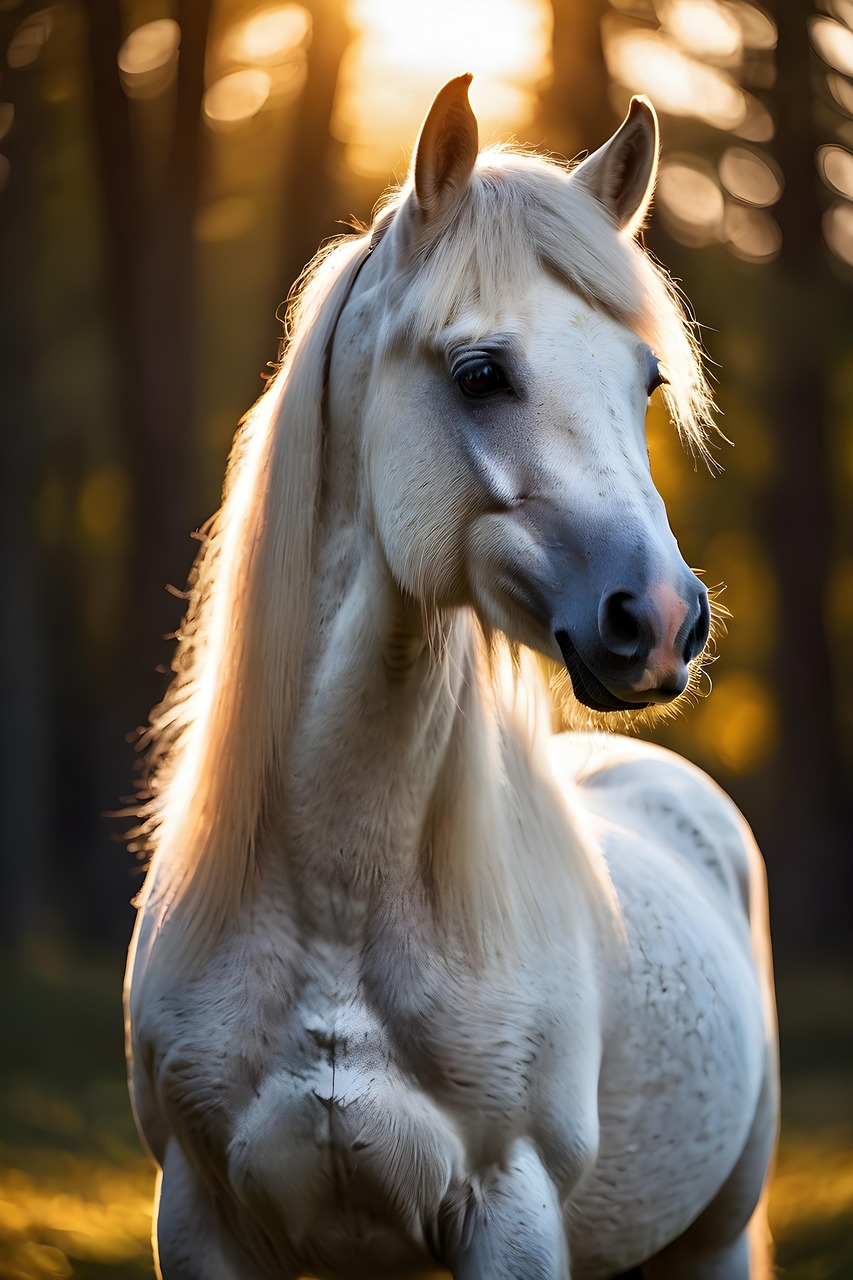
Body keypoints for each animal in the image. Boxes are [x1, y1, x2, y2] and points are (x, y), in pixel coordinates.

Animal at [125, 76, 778, 1280]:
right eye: (481, 374)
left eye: (646, 380)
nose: (663, 619)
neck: (337, 905)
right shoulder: (199, 1216)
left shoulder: (510, 1211)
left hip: (716, 1235)